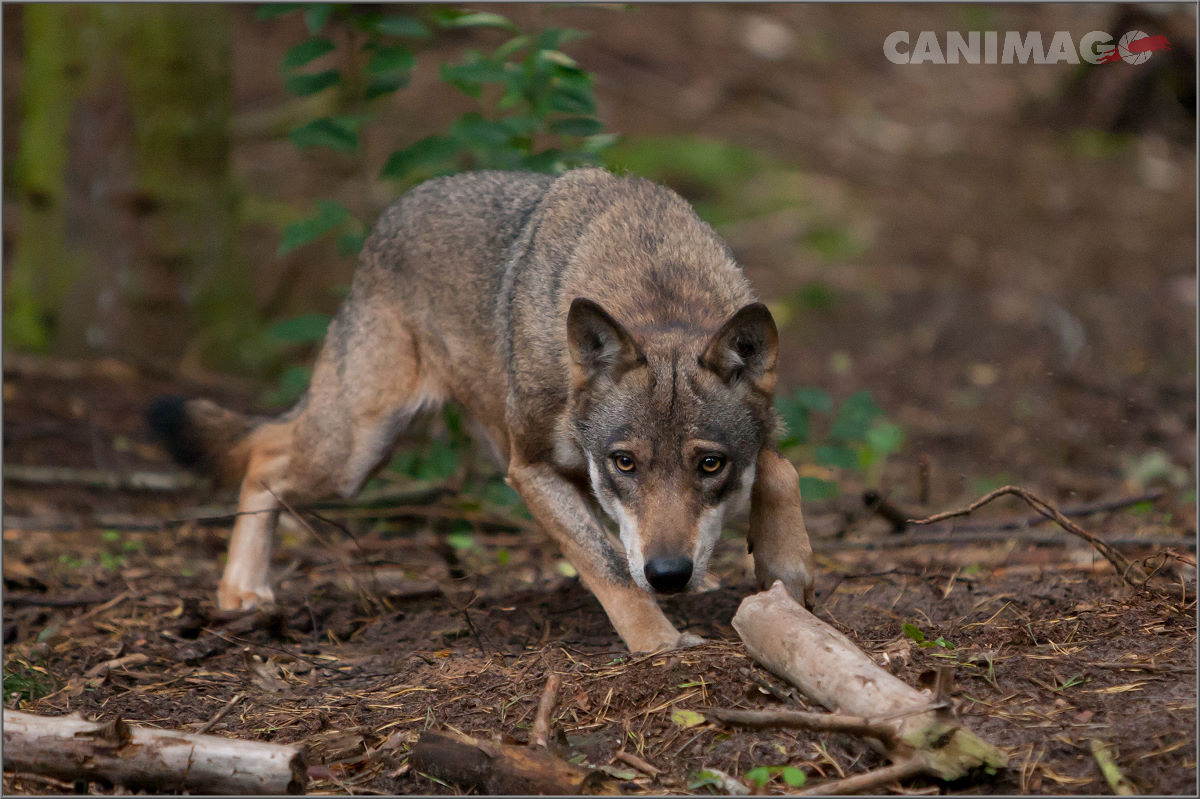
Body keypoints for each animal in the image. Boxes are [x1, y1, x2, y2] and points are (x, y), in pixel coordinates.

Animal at [145, 166, 811, 647]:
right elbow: (610, 566)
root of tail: (388, 218)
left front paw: (787, 565)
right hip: (356, 452)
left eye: (710, 464)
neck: (656, 290)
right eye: (624, 463)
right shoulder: (529, 468)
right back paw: (242, 591)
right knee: (263, 457)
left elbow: (781, 468)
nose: (669, 575)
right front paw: (659, 644)